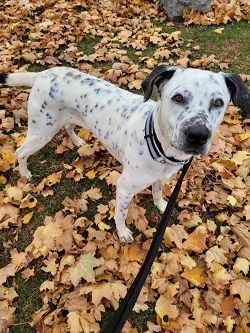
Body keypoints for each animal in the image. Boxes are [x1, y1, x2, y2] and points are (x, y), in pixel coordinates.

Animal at [0, 65, 249, 241]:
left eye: (218, 102)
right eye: (178, 97)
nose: (198, 135)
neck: (158, 143)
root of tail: (42, 74)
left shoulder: (160, 178)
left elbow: (157, 192)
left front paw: (161, 205)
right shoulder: (124, 188)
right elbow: (120, 214)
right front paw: (123, 233)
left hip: (67, 119)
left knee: (69, 127)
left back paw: (78, 141)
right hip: (42, 131)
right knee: (20, 151)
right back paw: (25, 173)